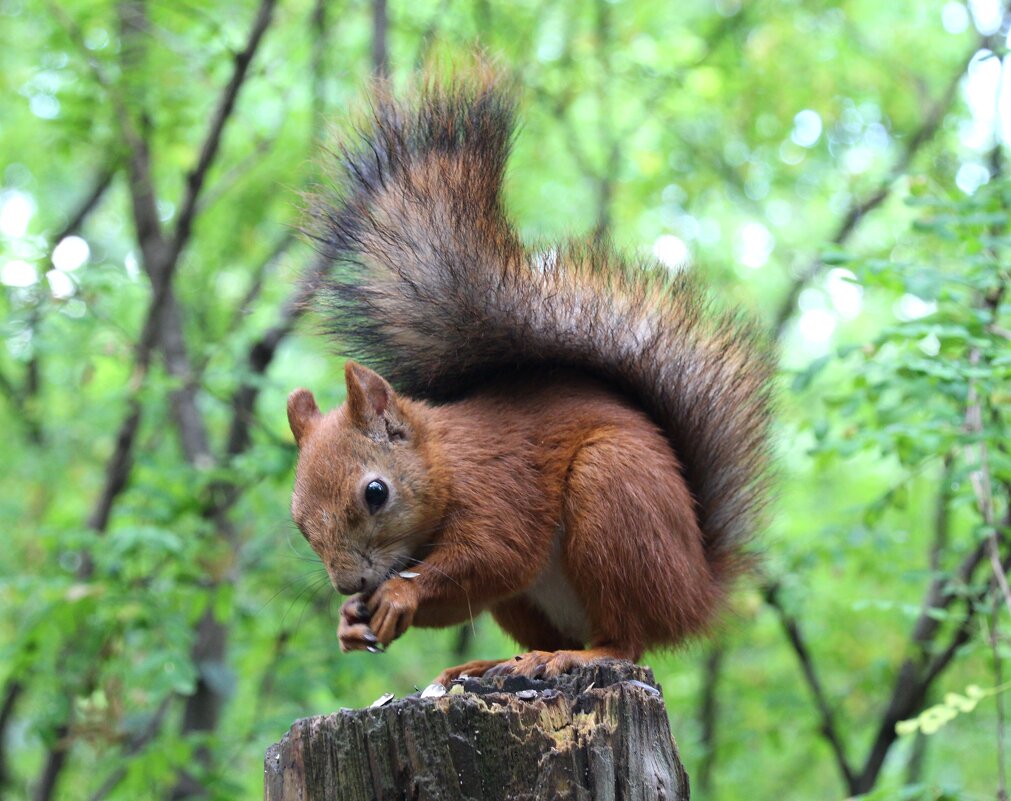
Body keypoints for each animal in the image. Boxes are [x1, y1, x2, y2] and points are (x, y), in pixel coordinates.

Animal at [285, 73, 772, 683]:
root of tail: (698, 594)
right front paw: (350, 621)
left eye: (376, 492)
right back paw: (498, 661)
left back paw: (579, 655)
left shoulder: (502, 485)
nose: (349, 583)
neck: (446, 463)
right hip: (532, 600)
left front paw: (397, 595)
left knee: (625, 640)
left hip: (615, 498)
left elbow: (499, 555)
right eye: (298, 520)